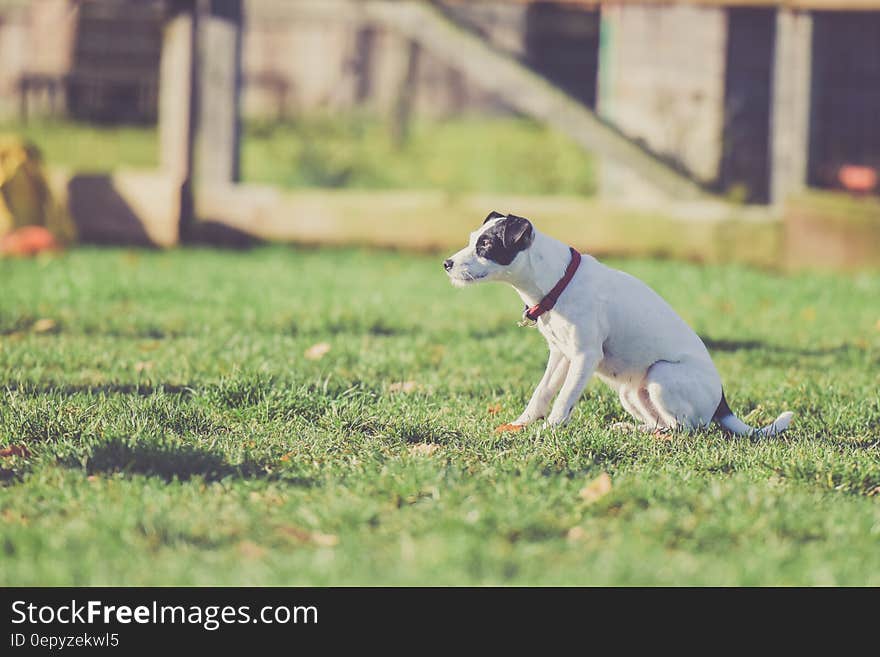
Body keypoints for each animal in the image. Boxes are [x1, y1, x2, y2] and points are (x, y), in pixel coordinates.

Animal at [444, 211, 796, 436]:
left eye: (486, 245)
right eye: (472, 239)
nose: (446, 263)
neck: (558, 281)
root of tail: (722, 403)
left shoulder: (584, 357)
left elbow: (564, 399)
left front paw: (548, 431)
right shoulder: (560, 354)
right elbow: (542, 392)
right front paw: (522, 424)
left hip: (660, 375)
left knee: (685, 429)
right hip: (632, 392)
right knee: (662, 423)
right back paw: (631, 429)